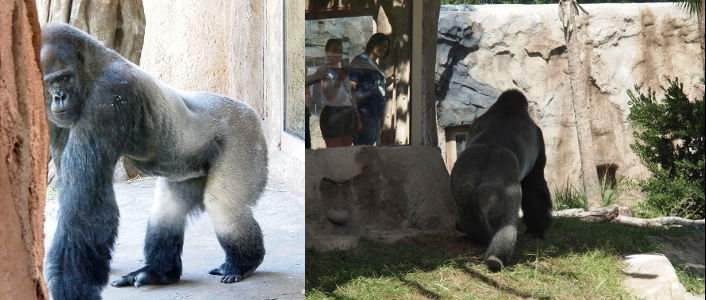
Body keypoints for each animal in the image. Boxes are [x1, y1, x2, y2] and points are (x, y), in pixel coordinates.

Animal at [42, 22, 266, 298]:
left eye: (65, 78)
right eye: (50, 82)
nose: (58, 97)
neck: (94, 65)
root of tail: (251, 111)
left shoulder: (109, 95)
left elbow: (84, 198)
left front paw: (71, 286)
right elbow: (74, 189)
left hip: (244, 132)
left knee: (224, 206)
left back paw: (244, 263)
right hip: (188, 168)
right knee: (169, 209)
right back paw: (160, 272)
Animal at [448, 88, 552, 272]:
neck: (508, 108)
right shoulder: (538, 136)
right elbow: (535, 187)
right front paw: (537, 230)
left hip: (462, 184)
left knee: (469, 215)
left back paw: (477, 239)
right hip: (500, 187)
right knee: (505, 221)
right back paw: (497, 257)